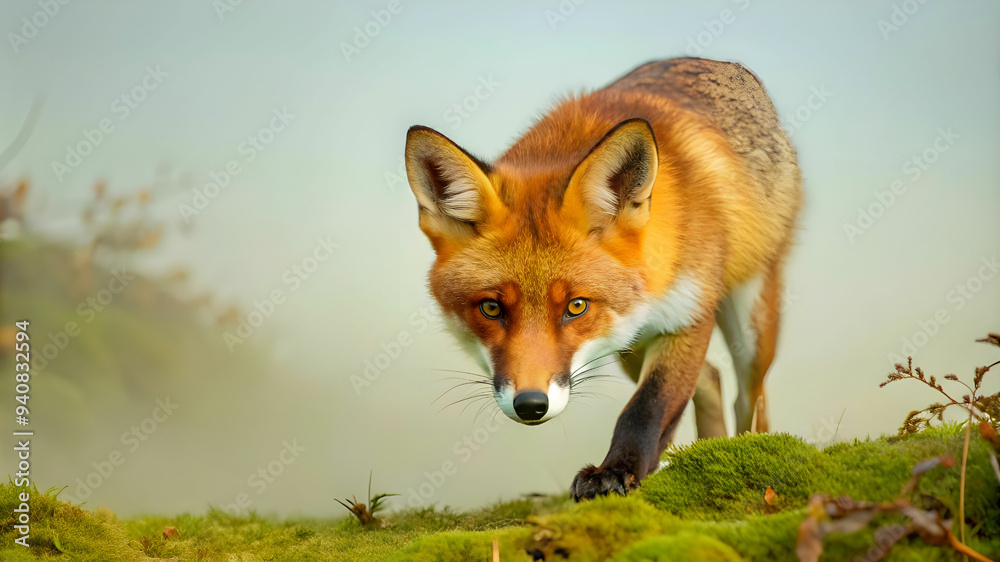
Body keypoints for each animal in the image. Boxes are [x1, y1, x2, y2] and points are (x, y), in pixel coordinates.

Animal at [404, 57, 802, 500]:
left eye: (576, 306)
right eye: (491, 308)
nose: (531, 405)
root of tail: (727, 66)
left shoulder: (690, 311)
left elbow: (647, 405)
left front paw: (617, 470)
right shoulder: (642, 330)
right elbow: (665, 401)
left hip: (750, 329)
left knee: (749, 400)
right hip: (629, 343)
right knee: (712, 379)